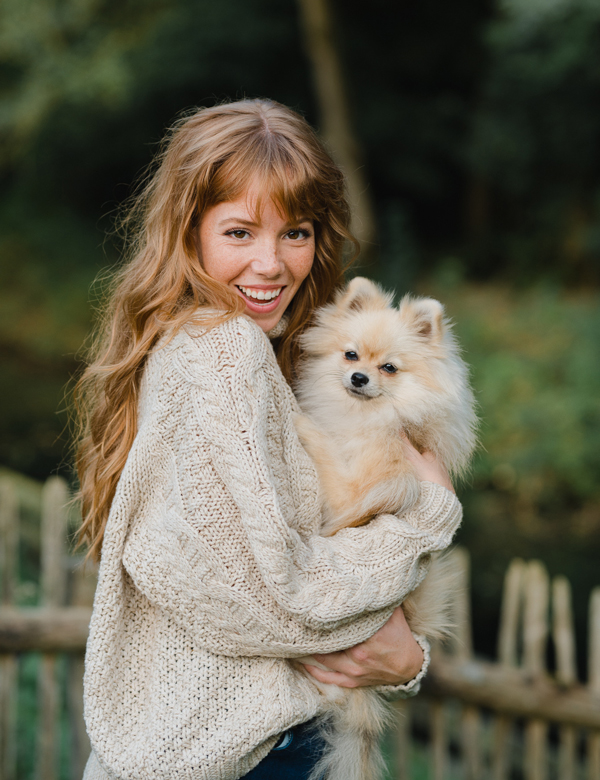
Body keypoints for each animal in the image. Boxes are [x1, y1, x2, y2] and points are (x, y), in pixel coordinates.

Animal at [292, 278, 476, 780]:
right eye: (351, 355)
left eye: (389, 368)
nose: (359, 378)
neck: (364, 417)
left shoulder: (356, 487)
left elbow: (324, 448)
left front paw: (300, 420)